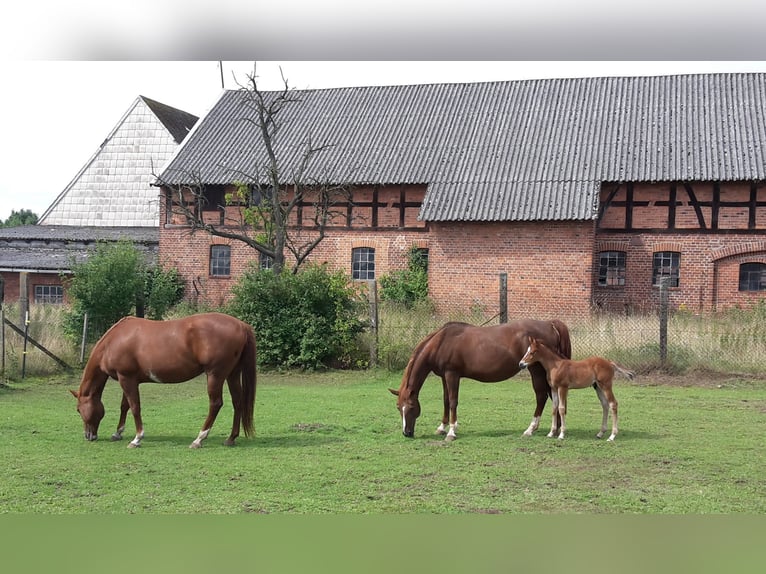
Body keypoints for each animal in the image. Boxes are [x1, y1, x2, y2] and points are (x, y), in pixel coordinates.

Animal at [72, 316, 258, 450]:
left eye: (78, 410)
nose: (88, 436)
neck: (113, 342)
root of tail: (241, 325)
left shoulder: (127, 379)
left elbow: (135, 407)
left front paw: (137, 439)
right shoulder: (129, 379)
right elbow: (125, 406)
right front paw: (117, 433)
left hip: (215, 375)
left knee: (216, 404)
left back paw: (199, 439)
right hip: (232, 374)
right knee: (237, 402)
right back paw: (231, 438)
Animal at [388, 322, 572, 444]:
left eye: (411, 407)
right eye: (398, 407)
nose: (406, 433)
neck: (441, 342)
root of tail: (550, 324)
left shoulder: (452, 375)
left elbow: (453, 402)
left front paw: (451, 432)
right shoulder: (444, 377)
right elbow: (446, 401)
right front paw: (442, 427)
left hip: (536, 371)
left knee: (541, 397)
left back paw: (531, 429)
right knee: (553, 399)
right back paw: (555, 429)